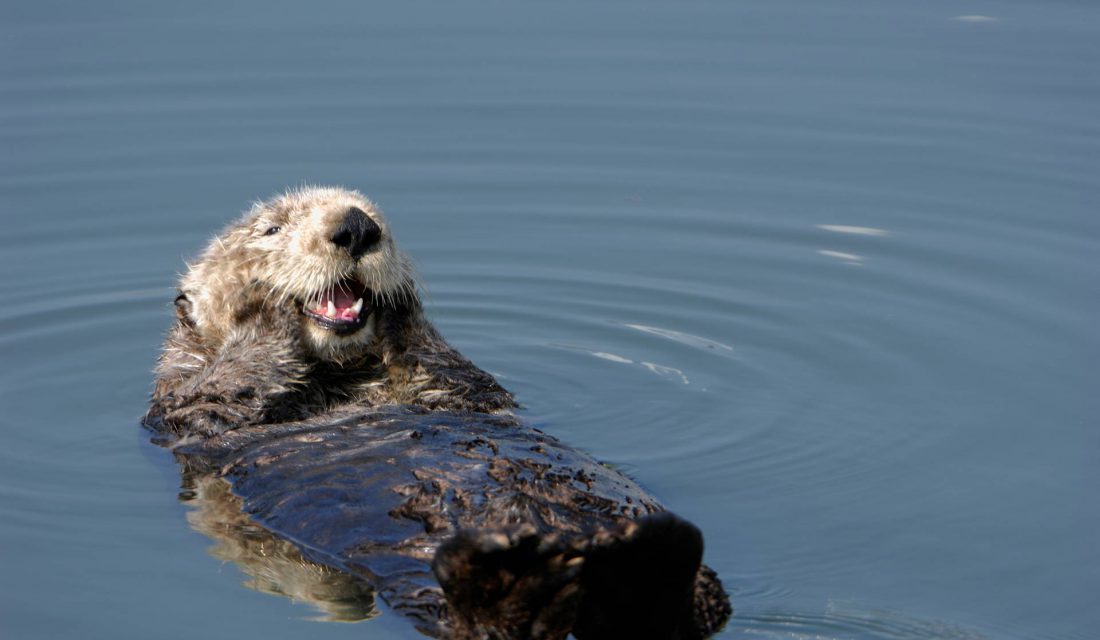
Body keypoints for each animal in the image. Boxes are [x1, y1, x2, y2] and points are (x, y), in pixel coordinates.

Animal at [144, 186, 730, 640]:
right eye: (270, 229)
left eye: (373, 212)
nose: (356, 227)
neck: (337, 381)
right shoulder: (179, 408)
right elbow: (218, 390)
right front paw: (263, 314)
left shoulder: (462, 390)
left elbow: (453, 372)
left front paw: (402, 307)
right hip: (421, 580)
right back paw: (512, 574)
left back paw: (649, 558)